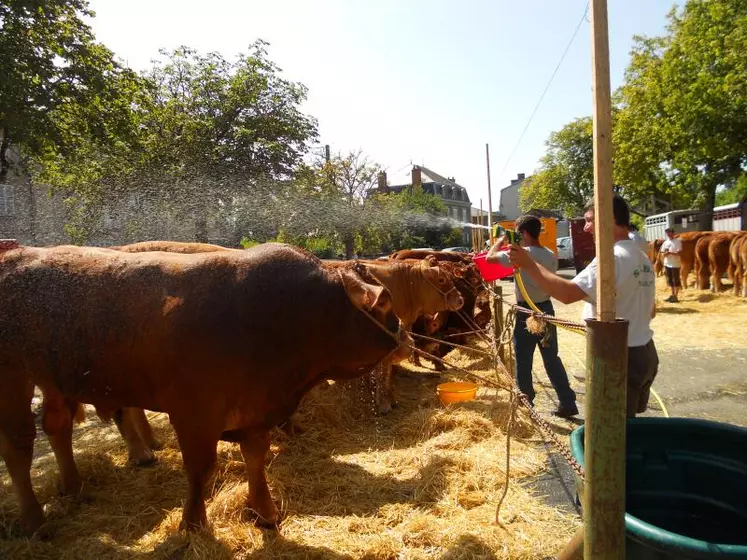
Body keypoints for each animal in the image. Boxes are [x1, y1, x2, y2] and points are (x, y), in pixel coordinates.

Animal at [0, 244, 410, 532]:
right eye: (386, 302)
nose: (405, 334)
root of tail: (15, 255)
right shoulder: (194, 413)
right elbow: (201, 468)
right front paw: (194, 523)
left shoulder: (254, 410)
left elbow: (255, 458)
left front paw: (264, 512)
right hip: (13, 379)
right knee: (18, 448)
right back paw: (35, 520)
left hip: (53, 379)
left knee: (57, 426)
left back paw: (73, 486)